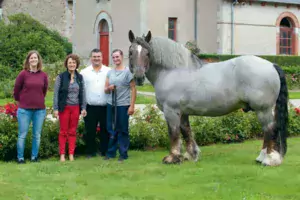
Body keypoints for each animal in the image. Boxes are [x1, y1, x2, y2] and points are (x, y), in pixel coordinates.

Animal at [128, 29, 288, 166]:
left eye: (147, 53)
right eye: (131, 52)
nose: (139, 77)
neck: (172, 71)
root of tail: (271, 65)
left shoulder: (171, 111)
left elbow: (173, 133)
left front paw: (172, 158)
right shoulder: (182, 112)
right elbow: (186, 131)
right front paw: (191, 155)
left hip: (263, 109)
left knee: (270, 129)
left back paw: (269, 159)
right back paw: (262, 157)